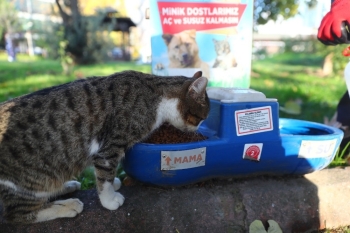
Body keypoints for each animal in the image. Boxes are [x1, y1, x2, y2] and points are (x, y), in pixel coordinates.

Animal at [0, 70, 208, 223]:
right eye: (200, 118)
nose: (197, 129)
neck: (155, 95)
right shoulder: (109, 148)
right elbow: (105, 177)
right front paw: (109, 199)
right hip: (30, 181)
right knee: (18, 214)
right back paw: (68, 206)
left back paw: (67, 186)